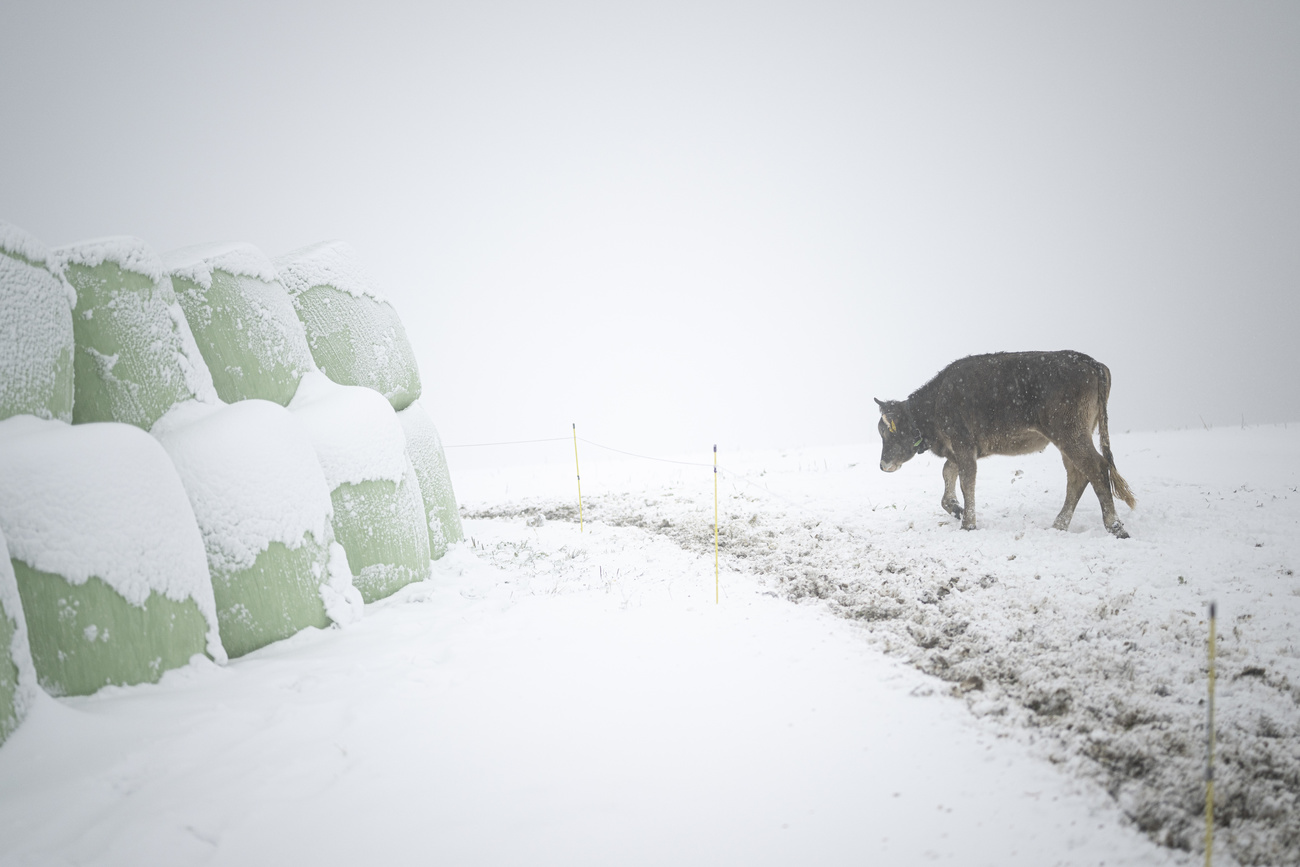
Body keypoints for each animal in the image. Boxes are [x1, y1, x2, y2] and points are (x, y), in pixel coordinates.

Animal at [874, 350, 1136, 537]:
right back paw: (1058, 526)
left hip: (1071, 435)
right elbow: (948, 473)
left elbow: (966, 481)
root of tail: (1089, 361)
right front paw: (956, 509)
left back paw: (1115, 527)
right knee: (1078, 476)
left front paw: (968, 524)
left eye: (887, 432)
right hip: (1068, 440)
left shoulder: (963, 445)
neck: (936, 402)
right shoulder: (959, 450)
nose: (883, 465)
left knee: (1097, 469)